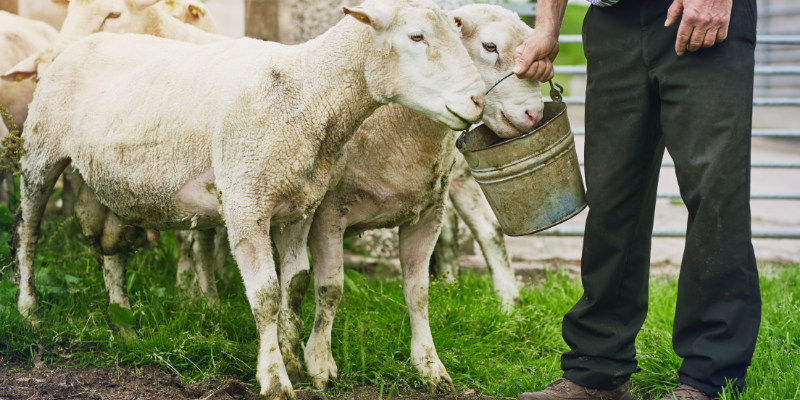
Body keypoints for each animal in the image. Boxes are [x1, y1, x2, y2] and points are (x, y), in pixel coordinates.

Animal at [13, 0, 484, 396]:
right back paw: (28, 310)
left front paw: (293, 360)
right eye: (416, 36)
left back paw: (123, 323)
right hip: (40, 152)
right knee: (27, 233)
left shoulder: (300, 207)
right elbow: (267, 296)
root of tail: (75, 46)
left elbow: (296, 284)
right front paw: (275, 378)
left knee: (112, 249)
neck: (309, 93)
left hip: (115, 185)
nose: (478, 99)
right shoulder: (245, 202)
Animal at [290, 4, 542, 392]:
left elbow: (418, 292)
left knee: (487, 229)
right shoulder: (329, 213)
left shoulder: (427, 213)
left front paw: (429, 365)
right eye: (490, 46)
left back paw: (505, 301)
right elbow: (329, 288)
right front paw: (319, 362)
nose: (535, 114)